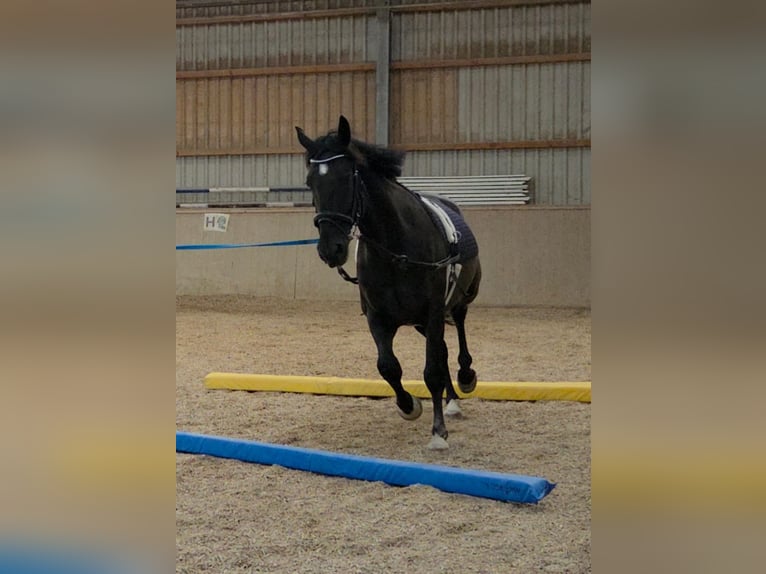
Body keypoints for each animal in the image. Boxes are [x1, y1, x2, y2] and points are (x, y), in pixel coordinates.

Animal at [295, 115, 482, 450]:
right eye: (310, 183)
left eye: (347, 178)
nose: (331, 250)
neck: (397, 248)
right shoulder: (378, 317)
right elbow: (388, 367)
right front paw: (409, 406)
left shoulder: (433, 312)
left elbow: (431, 371)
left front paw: (438, 432)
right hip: (422, 323)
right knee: (443, 351)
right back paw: (451, 400)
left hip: (459, 301)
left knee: (459, 337)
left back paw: (464, 379)